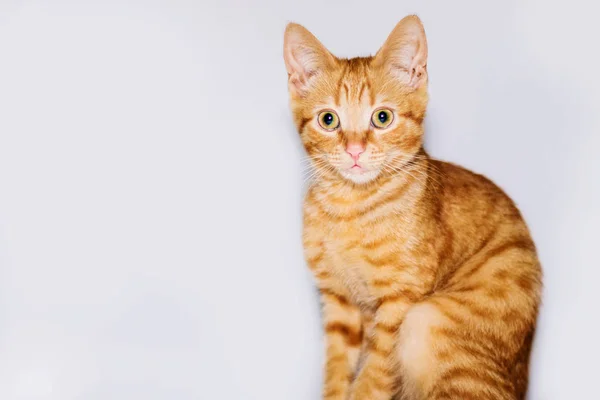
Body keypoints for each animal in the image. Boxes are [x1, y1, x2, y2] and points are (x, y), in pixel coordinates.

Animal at [284, 14, 540, 400]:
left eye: (382, 117)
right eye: (328, 120)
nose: (355, 150)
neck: (349, 207)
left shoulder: (400, 301)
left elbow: (373, 377)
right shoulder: (339, 303)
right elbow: (338, 373)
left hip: (427, 319)